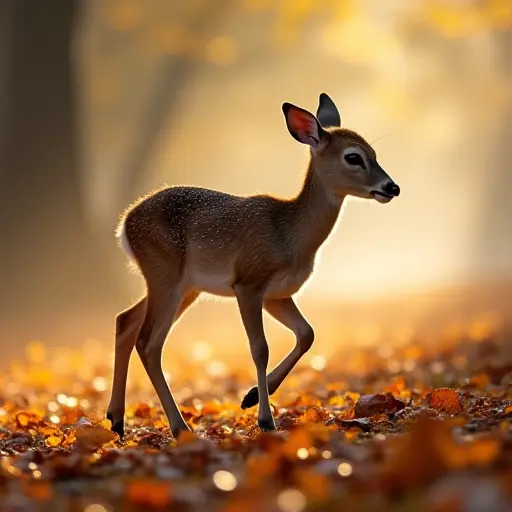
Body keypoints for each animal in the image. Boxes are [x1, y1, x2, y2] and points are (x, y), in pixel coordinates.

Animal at [105, 94, 400, 438]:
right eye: (353, 157)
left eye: (374, 153)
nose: (392, 187)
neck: (290, 235)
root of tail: (124, 225)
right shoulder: (248, 282)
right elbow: (260, 348)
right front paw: (265, 419)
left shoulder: (278, 294)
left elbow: (307, 333)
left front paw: (251, 396)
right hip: (165, 273)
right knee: (149, 342)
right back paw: (178, 427)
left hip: (184, 286)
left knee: (126, 320)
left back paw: (116, 420)